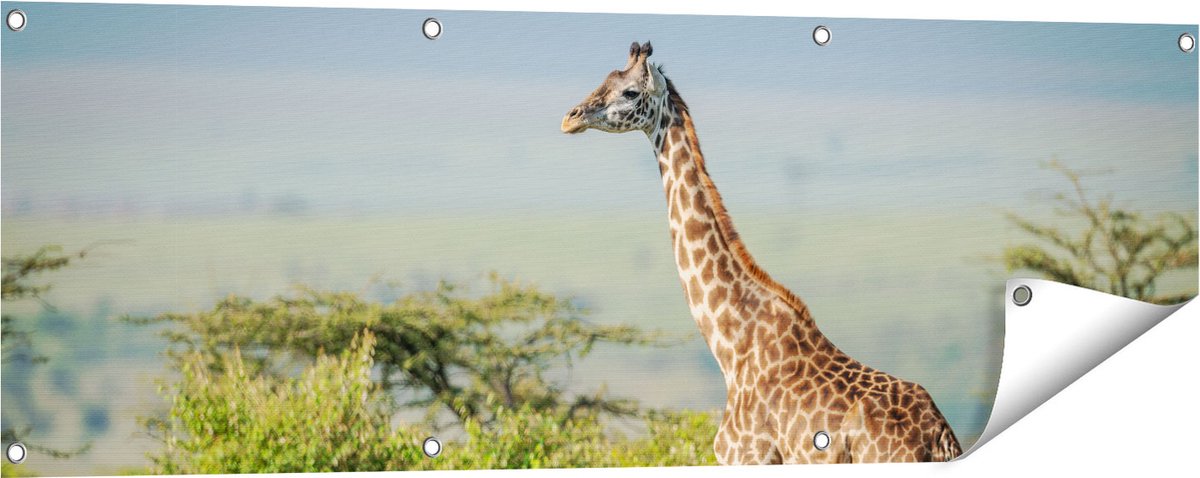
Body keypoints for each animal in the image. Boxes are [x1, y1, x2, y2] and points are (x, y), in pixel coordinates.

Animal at [561, 42, 962, 464]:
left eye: (629, 92)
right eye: (605, 80)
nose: (570, 118)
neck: (731, 344)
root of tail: (941, 437)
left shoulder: (748, 455)